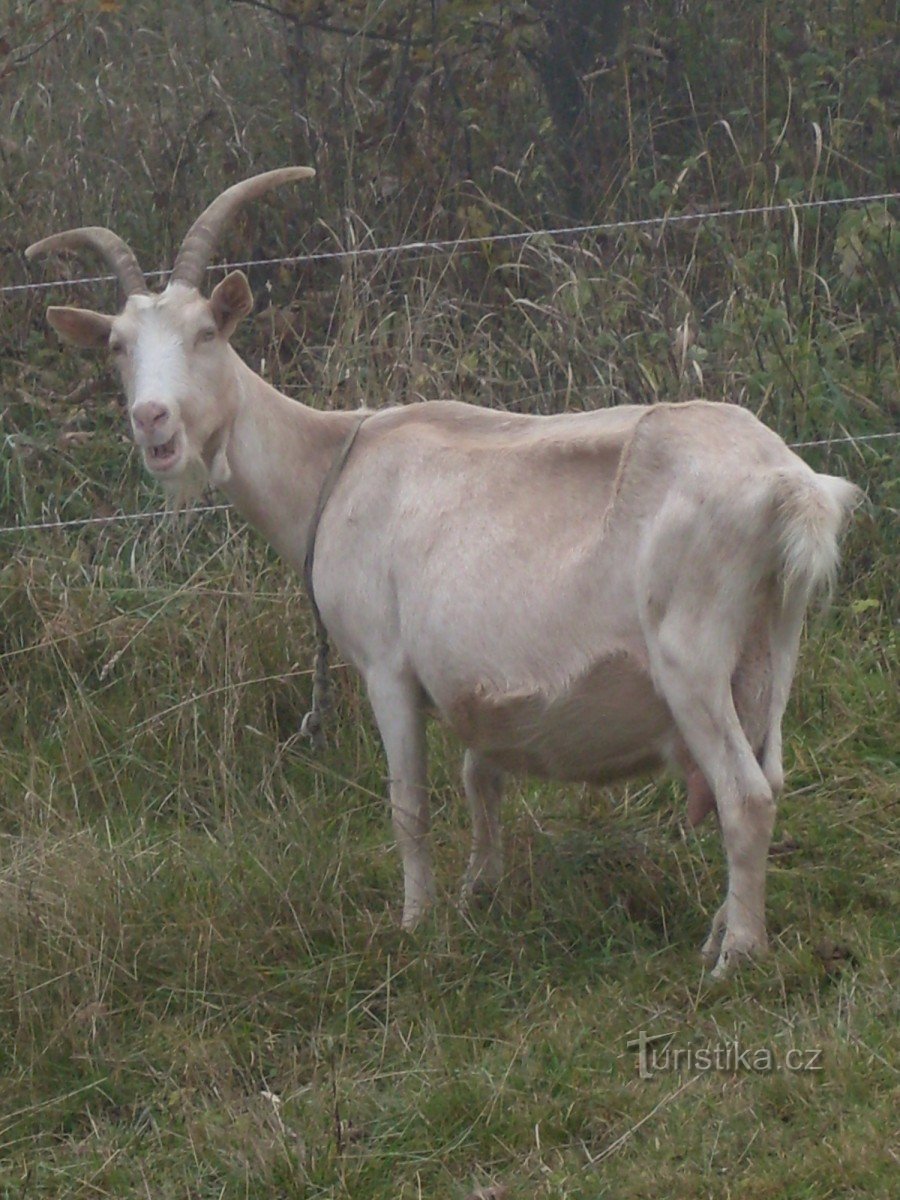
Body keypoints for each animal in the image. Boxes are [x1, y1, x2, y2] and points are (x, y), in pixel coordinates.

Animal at [24, 166, 864, 974]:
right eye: (117, 347)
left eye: (205, 331)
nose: (153, 421)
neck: (331, 465)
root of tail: (789, 487)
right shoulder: (471, 672)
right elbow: (479, 778)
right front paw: (478, 895)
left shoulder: (387, 664)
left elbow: (410, 805)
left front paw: (417, 924)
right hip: (773, 643)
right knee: (770, 775)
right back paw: (721, 932)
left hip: (690, 651)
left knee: (744, 796)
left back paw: (737, 959)